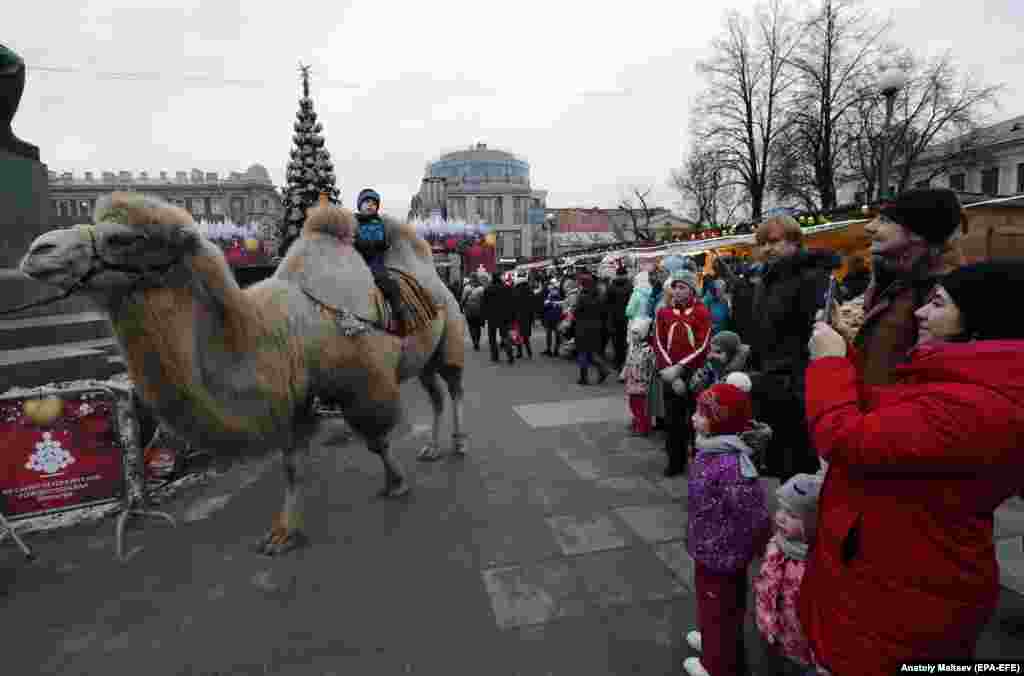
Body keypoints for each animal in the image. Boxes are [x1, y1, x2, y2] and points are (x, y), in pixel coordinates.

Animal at [18, 190, 466, 553]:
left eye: (124, 238)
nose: (38, 249)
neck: (294, 328)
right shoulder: (297, 397)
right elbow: (292, 464)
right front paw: (283, 534)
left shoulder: (365, 381)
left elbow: (376, 441)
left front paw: (396, 483)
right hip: (424, 359)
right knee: (434, 393)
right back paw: (432, 447)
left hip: (452, 339)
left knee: (455, 387)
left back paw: (458, 445)